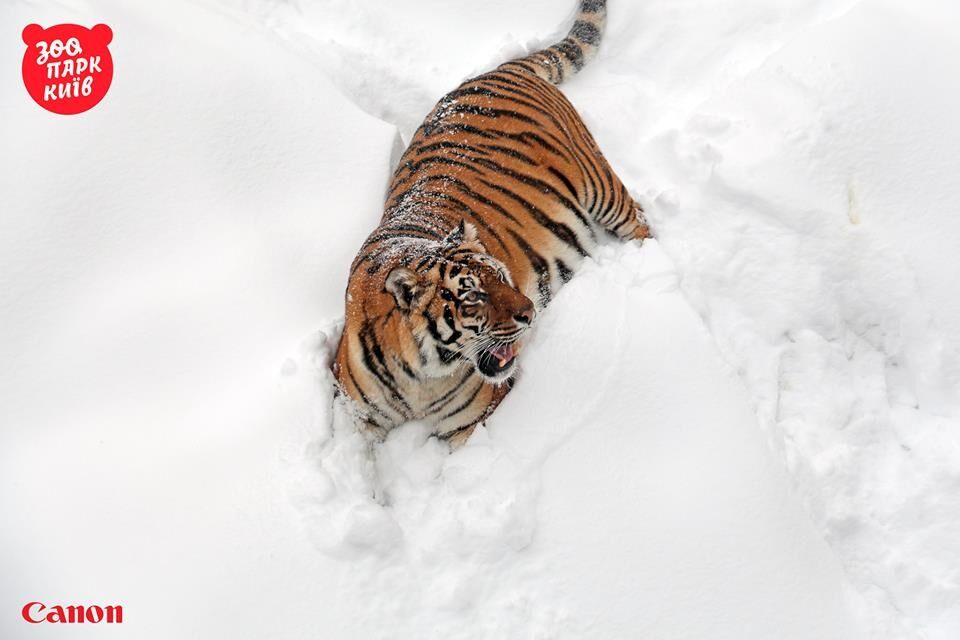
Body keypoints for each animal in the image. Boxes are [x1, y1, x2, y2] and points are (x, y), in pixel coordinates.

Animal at [332, 0, 652, 448]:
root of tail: (498, 71)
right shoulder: (354, 415)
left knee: (638, 220)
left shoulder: (473, 420)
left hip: (599, 185)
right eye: (473, 296)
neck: (418, 379)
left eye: (502, 276)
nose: (530, 314)